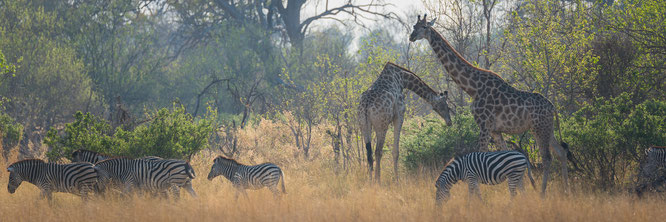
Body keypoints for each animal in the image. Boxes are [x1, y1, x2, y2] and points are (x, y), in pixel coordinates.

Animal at [410, 13, 572, 195]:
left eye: (424, 27)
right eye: (414, 26)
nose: (411, 37)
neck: (473, 87)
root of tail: (553, 107)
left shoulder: (484, 126)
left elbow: (480, 155)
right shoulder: (495, 130)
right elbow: (506, 155)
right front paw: (517, 190)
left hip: (539, 128)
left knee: (547, 157)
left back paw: (543, 193)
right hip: (547, 128)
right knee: (561, 152)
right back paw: (567, 191)